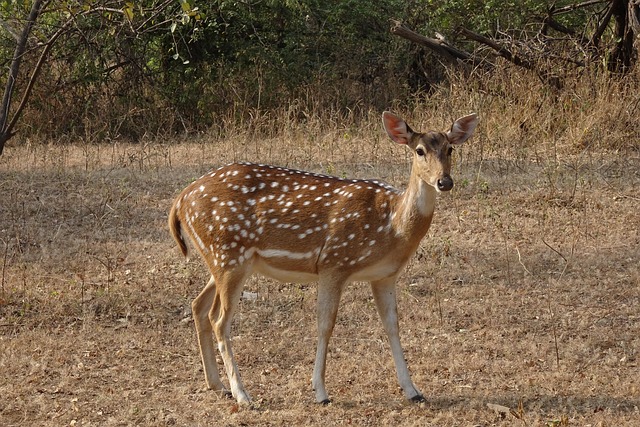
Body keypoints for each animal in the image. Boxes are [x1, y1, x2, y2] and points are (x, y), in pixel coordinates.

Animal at [168, 110, 478, 404]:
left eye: (450, 149)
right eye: (419, 150)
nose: (444, 181)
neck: (392, 225)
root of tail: (181, 199)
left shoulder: (385, 275)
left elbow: (392, 326)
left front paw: (413, 391)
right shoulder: (334, 262)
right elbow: (325, 324)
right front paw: (320, 391)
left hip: (223, 260)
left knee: (198, 306)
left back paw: (217, 384)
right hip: (229, 254)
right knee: (219, 319)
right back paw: (242, 394)